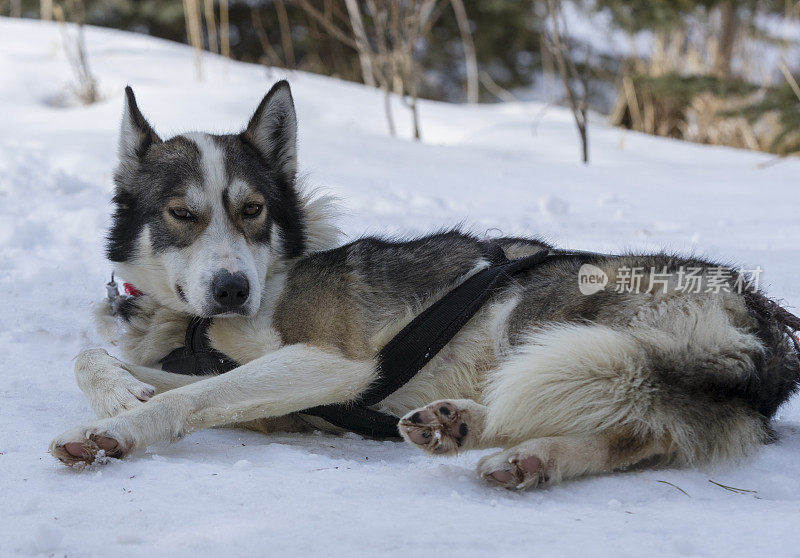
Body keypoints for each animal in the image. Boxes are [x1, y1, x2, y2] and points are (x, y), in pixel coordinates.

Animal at [51, 82, 800, 490]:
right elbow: (104, 361)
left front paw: (118, 430)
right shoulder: (276, 394)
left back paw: (490, 436)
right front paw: (118, 396)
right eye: (183, 214)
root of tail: (763, 318)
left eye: (253, 210)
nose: (233, 289)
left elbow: (194, 395)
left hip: (544, 321)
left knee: (604, 408)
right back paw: (501, 445)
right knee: (637, 428)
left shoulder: (332, 364)